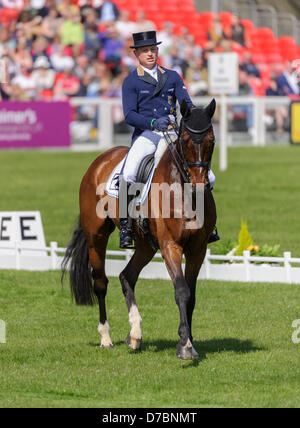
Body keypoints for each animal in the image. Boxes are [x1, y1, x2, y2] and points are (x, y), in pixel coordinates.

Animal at [61, 98, 216, 360]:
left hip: (146, 245)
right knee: (100, 283)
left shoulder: (198, 248)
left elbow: (192, 295)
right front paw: (184, 345)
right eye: (185, 140)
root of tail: (101, 159)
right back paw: (106, 338)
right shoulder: (170, 245)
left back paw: (135, 335)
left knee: (127, 276)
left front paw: (190, 341)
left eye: (212, 140)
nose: (199, 185)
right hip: (97, 236)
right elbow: (181, 291)